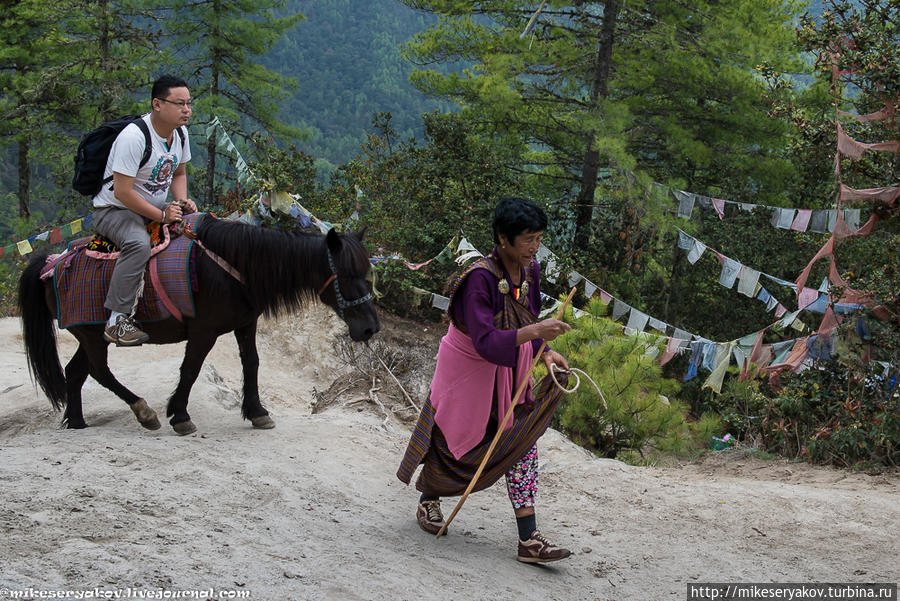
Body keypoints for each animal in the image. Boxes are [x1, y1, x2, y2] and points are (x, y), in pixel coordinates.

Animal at [20, 218, 380, 434]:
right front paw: (179, 415)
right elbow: (191, 369)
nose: (370, 328)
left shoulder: (246, 324)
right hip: (94, 336)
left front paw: (256, 411)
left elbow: (252, 363)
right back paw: (143, 411)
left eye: (366, 272)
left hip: (91, 335)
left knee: (76, 371)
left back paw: (77, 421)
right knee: (98, 371)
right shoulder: (203, 332)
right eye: (347, 274)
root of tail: (53, 264)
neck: (230, 267)